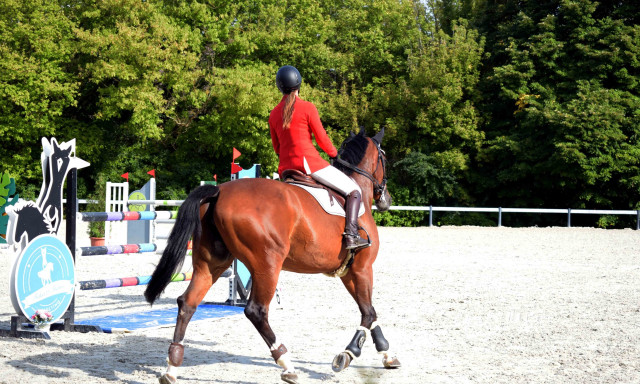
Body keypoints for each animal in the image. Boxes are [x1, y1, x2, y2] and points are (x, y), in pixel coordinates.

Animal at [145, 129, 400, 384]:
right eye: (385, 158)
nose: (386, 200)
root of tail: (220, 191)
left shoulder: (348, 272)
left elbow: (369, 312)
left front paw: (385, 355)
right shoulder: (362, 268)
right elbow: (368, 313)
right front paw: (350, 354)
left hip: (212, 264)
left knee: (187, 303)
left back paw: (172, 367)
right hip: (267, 266)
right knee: (256, 311)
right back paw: (287, 364)